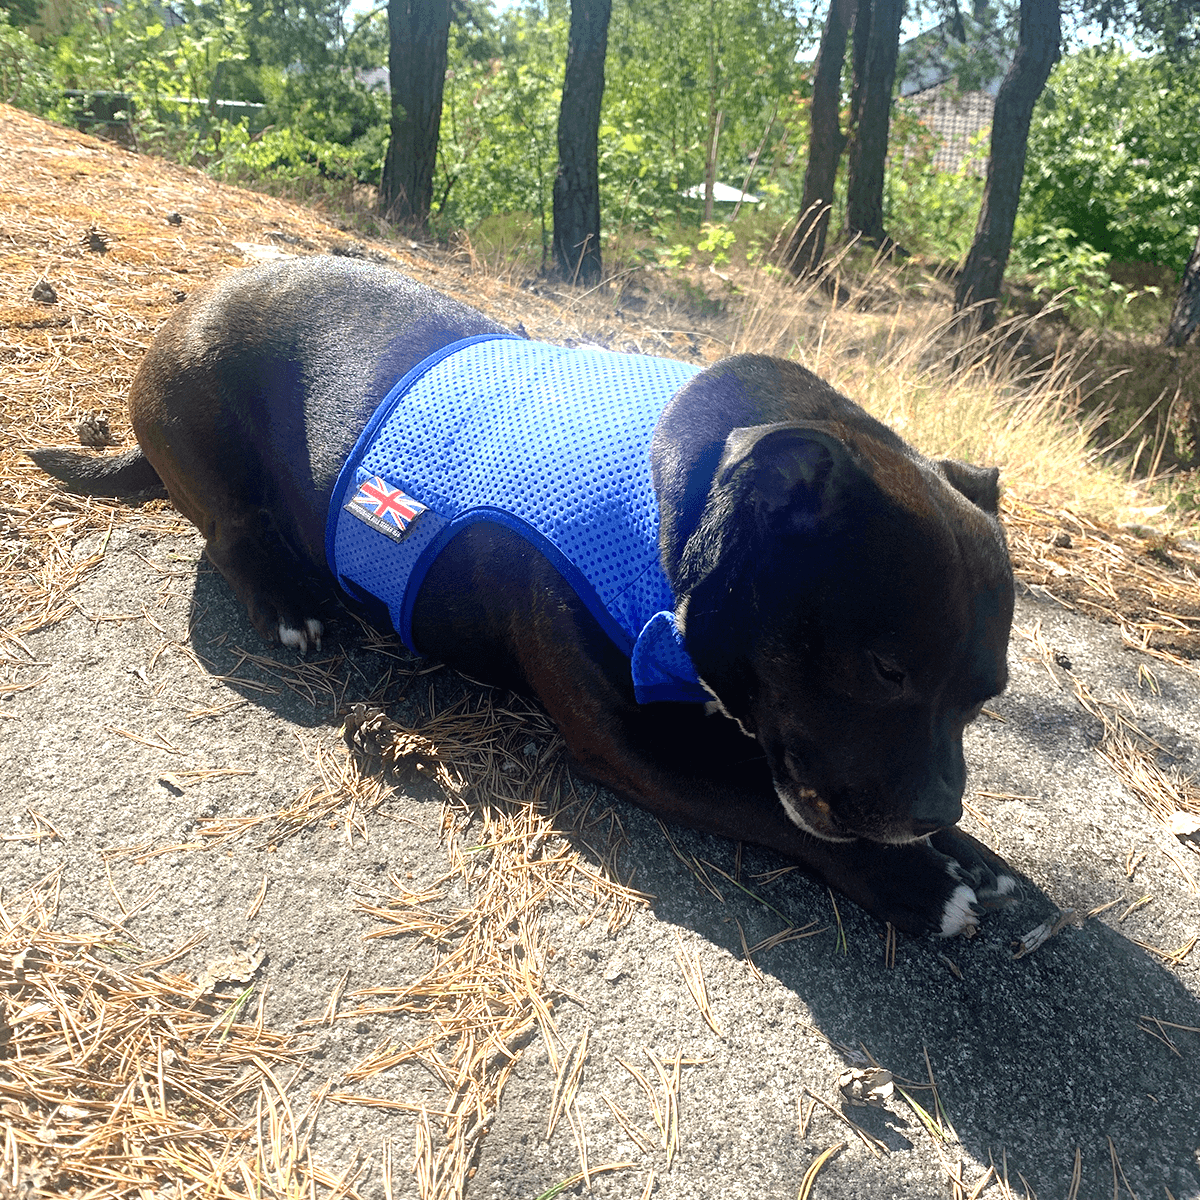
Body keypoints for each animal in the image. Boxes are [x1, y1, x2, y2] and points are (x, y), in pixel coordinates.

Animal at [32, 258, 1017, 936]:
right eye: (885, 668)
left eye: (987, 698)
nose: (938, 810)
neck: (678, 508)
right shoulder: (632, 748)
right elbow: (778, 808)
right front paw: (921, 884)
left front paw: (977, 856)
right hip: (205, 421)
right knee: (233, 534)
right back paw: (290, 603)